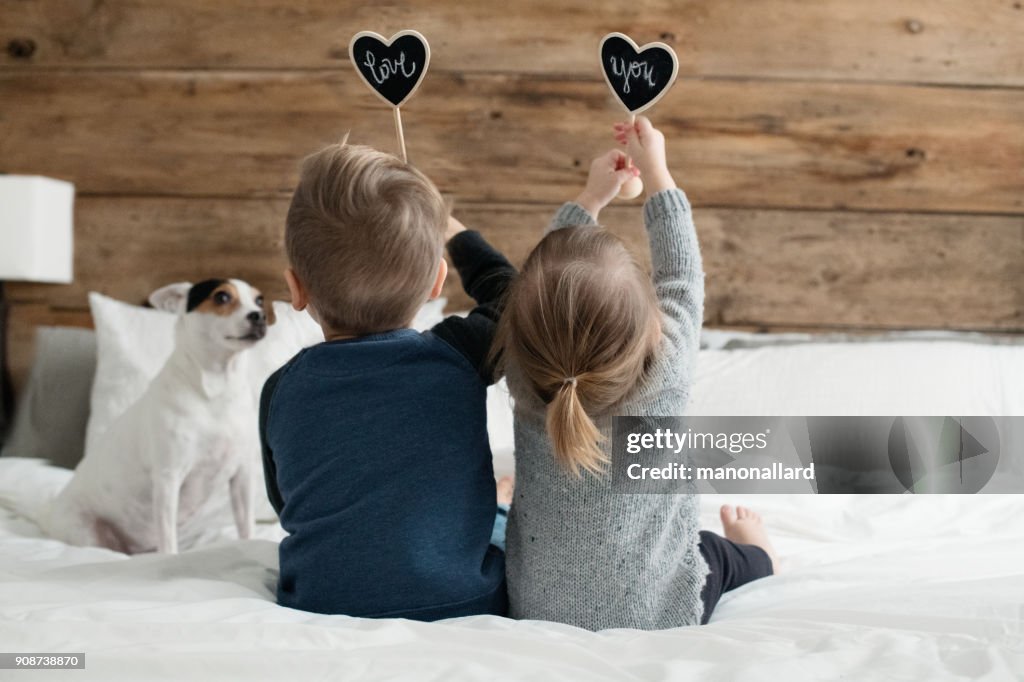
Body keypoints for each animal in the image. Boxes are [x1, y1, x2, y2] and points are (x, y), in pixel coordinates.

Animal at [46, 278, 270, 548]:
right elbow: (168, 541)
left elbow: (246, 526)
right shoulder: (168, 479)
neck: (217, 390)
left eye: (259, 300)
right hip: (86, 532)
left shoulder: (242, 476)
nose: (260, 316)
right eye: (222, 297)